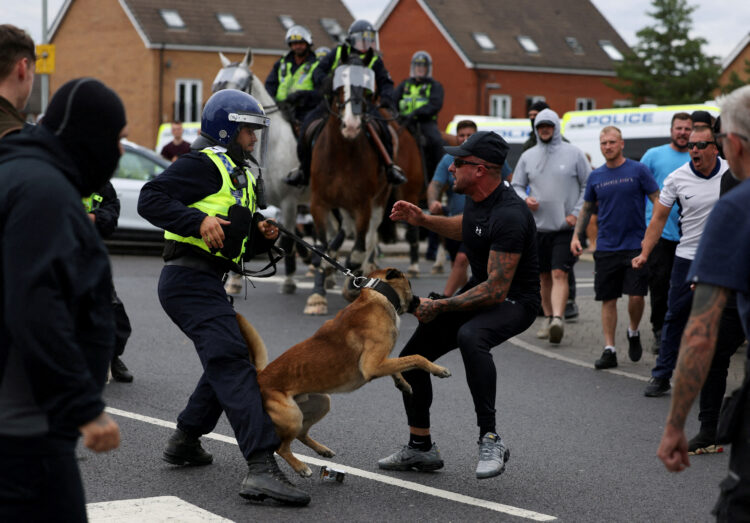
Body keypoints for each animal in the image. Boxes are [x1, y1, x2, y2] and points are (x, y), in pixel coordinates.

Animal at [210, 49, 306, 294]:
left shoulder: (290, 202)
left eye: (242, 84)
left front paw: (289, 280)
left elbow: (287, 240)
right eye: (216, 83)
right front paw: (234, 280)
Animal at [238, 268, 456, 476]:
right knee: (281, 447)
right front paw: (438, 369)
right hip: (292, 416)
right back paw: (301, 467)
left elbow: (399, 364)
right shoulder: (373, 365)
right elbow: (416, 357)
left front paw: (402, 383)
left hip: (321, 403)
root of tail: (261, 376)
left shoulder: (382, 361)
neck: (377, 295)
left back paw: (322, 450)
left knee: (301, 434)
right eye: (409, 283)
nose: (423, 300)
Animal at [304, 50, 394, 316]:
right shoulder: (318, 204)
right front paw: (317, 297)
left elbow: (357, 252)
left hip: (378, 202)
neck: (342, 153)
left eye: (366, 87)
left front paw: (353, 287)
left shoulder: (363, 206)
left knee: (369, 241)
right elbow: (321, 249)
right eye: (339, 83)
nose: (352, 125)